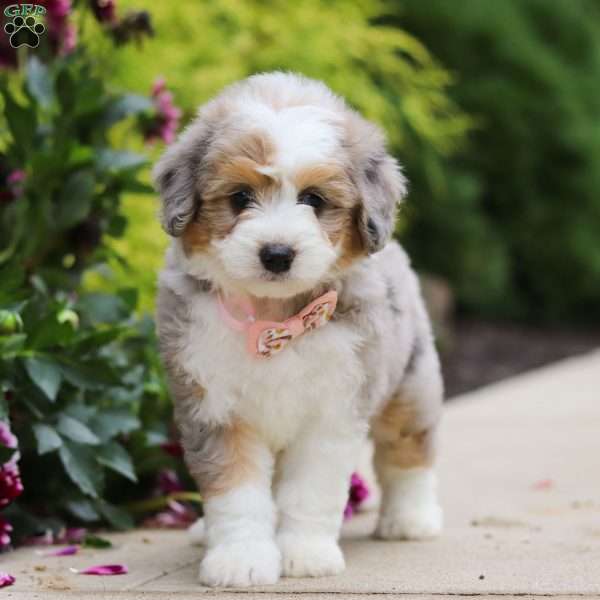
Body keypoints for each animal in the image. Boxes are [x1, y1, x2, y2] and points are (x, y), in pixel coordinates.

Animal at [155, 72, 446, 588]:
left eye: (314, 200)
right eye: (240, 198)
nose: (277, 254)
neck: (274, 318)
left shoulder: (332, 411)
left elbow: (310, 491)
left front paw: (305, 555)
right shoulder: (214, 409)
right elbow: (237, 494)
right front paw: (241, 559)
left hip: (410, 382)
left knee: (407, 448)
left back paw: (410, 519)